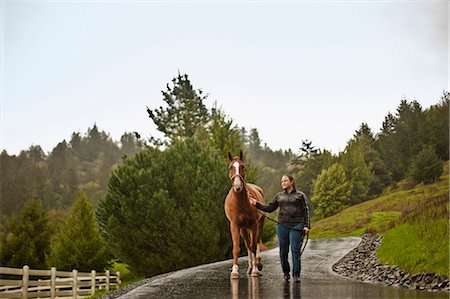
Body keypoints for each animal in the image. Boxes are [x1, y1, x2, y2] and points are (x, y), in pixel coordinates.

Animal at [224, 151, 266, 280]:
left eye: (243, 166)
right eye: (230, 167)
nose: (237, 186)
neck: (241, 203)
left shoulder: (253, 224)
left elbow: (254, 245)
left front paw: (255, 270)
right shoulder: (235, 225)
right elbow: (237, 248)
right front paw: (235, 271)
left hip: (259, 225)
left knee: (256, 242)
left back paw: (257, 263)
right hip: (243, 229)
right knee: (248, 245)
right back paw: (250, 266)